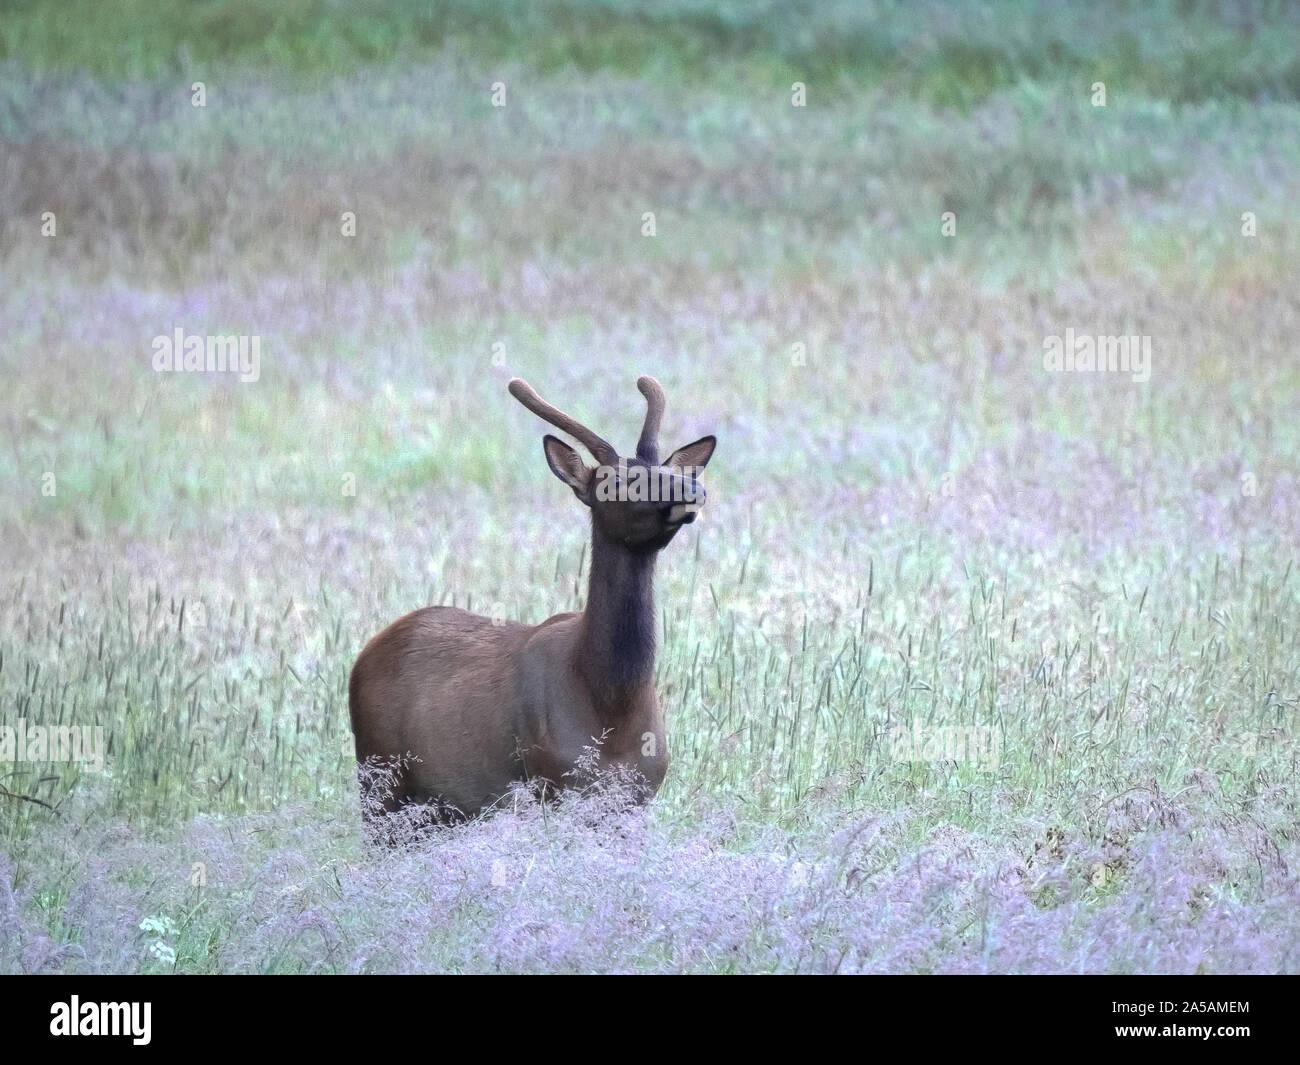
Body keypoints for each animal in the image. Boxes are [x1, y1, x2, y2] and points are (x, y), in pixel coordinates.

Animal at [348, 375, 716, 827]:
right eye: (614, 481)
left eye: (666, 469)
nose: (690, 487)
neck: (613, 708)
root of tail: (366, 653)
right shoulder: (550, 783)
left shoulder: (639, 794)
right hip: (378, 778)